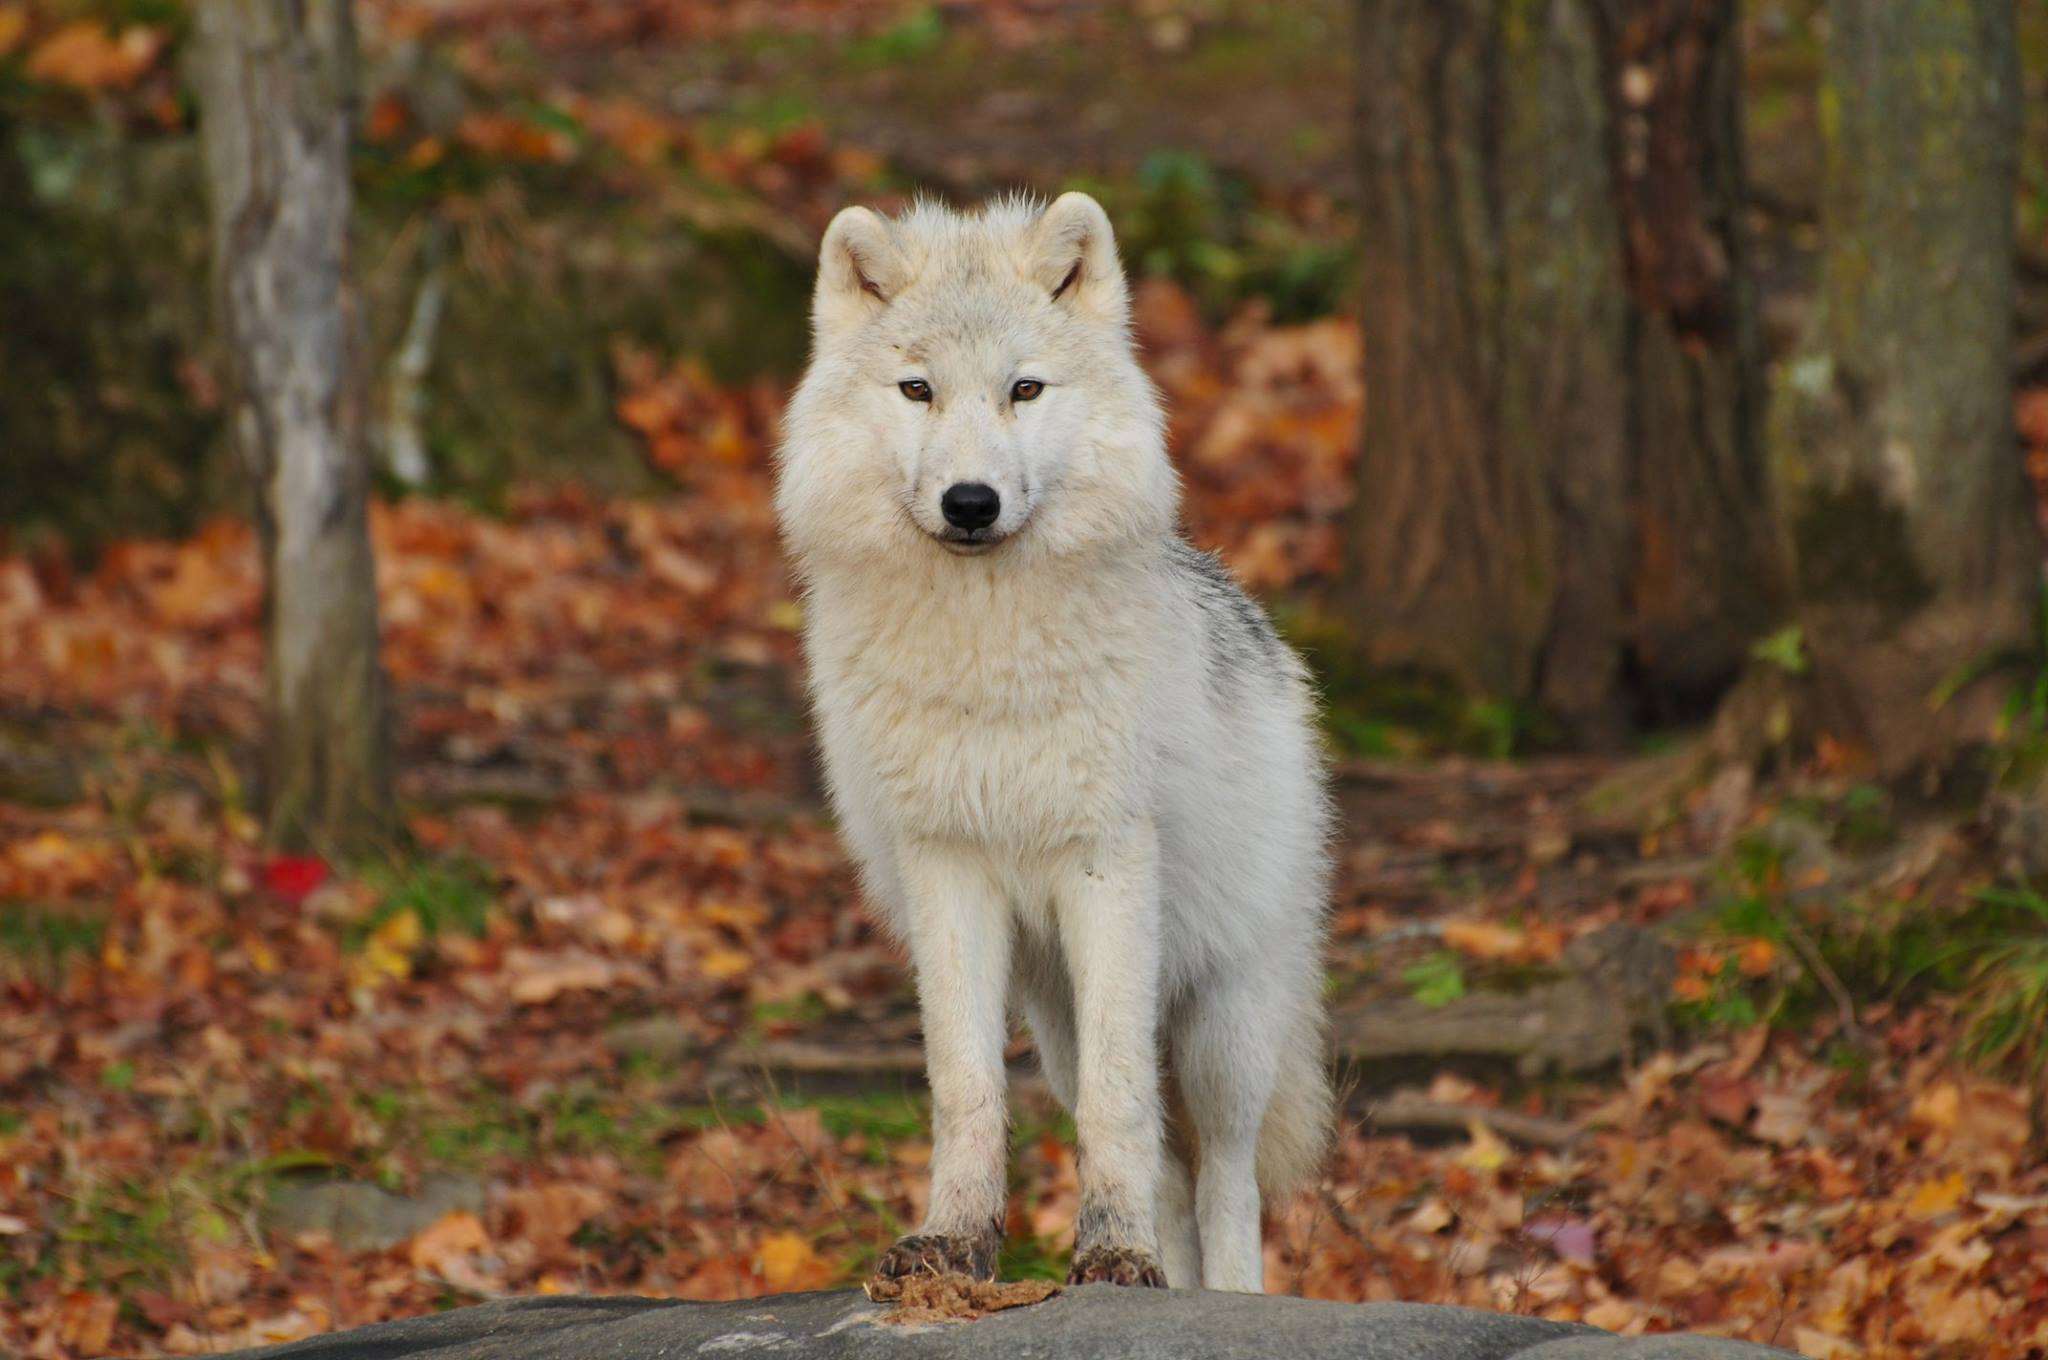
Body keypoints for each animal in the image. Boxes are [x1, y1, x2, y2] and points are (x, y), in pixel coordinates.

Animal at [774, 192, 1332, 1293]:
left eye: (1023, 389)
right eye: (917, 390)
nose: (970, 503)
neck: (987, 658)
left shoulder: (1104, 863)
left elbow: (1123, 1103)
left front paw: (1110, 1250)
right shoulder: (945, 866)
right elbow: (964, 1086)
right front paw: (953, 1242)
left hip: (1223, 1024)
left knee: (1226, 1176)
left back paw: (1224, 1295)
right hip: (1054, 1018)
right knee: (1169, 1171)